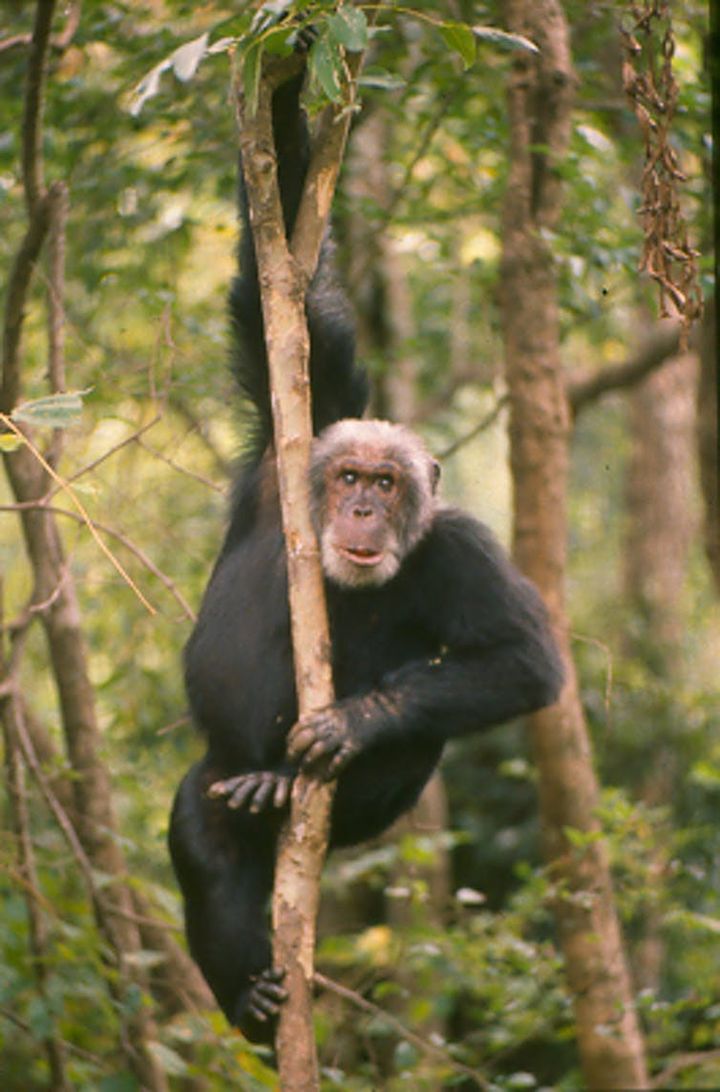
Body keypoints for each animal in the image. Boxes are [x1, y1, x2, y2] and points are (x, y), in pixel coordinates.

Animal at [167, 59, 563, 1039]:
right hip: (215, 776)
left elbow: (524, 661)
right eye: (348, 474)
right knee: (200, 835)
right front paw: (287, 67)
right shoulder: (294, 427)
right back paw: (253, 994)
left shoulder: (462, 548)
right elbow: (288, 298)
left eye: (387, 486)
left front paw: (347, 724)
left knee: (427, 729)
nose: (358, 510)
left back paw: (296, 783)